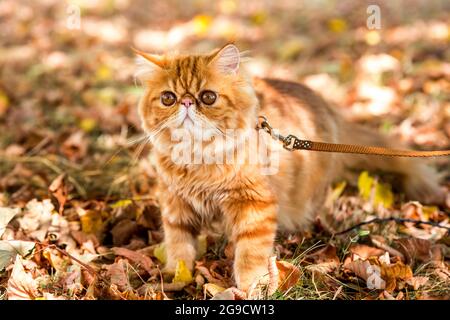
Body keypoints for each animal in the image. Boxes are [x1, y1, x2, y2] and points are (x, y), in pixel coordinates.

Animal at [134, 45, 442, 292]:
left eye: (208, 97)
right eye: (168, 98)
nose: (186, 102)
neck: (197, 158)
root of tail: (327, 107)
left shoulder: (255, 204)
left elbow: (249, 255)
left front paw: (251, 288)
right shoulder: (175, 204)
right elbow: (179, 245)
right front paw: (176, 276)